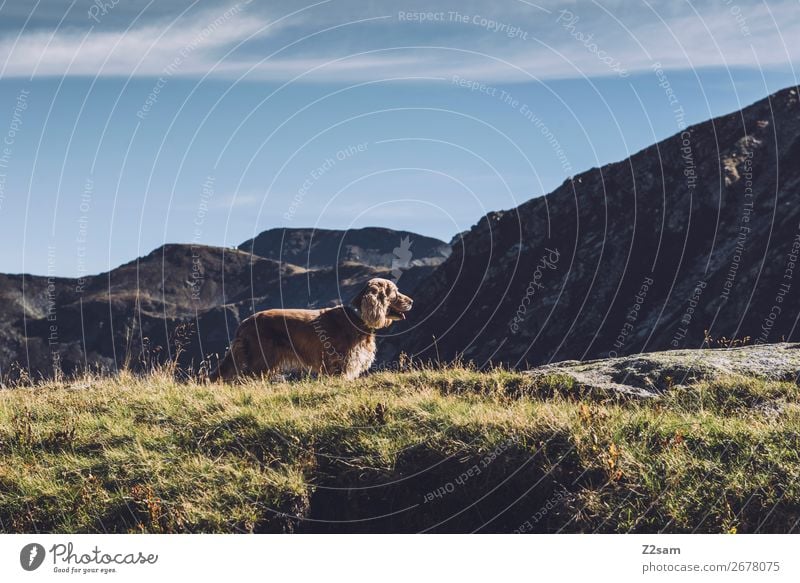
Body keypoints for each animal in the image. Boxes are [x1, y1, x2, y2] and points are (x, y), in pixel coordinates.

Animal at [209, 278, 412, 384]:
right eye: (395, 292)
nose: (411, 301)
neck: (356, 317)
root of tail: (244, 322)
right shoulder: (339, 363)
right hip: (262, 358)